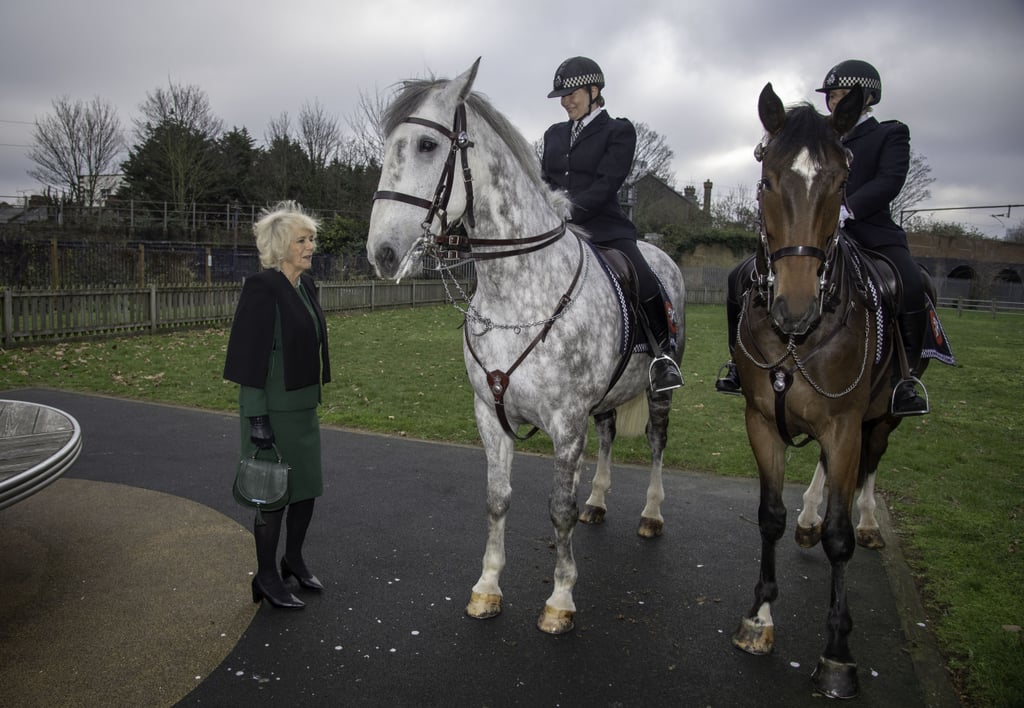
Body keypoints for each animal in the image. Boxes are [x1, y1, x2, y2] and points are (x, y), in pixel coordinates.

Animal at [364, 60, 684, 635]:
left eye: (426, 145)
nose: (382, 253)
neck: (517, 292)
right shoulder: (490, 414)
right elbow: (497, 500)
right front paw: (487, 588)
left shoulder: (566, 421)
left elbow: (558, 509)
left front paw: (560, 599)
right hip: (604, 402)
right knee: (608, 438)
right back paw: (598, 502)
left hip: (659, 392)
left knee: (654, 443)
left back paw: (651, 514)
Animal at [729, 82, 937, 696]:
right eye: (766, 179)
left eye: (842, 183)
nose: (793, 308)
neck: (799, 339)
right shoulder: (762, 421)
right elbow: (769, 516)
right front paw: (759, 618)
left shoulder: (844, 424)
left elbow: (840, 539)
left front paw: (838, 653)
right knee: (825, 471)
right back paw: (808, 519)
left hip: (881, 415)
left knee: (869, 463)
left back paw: (867, 521)